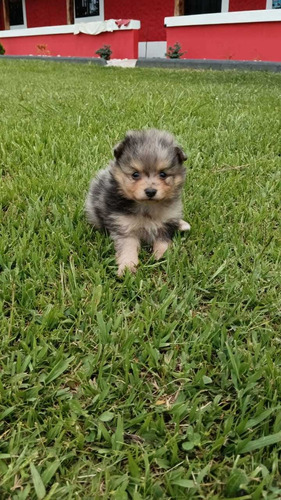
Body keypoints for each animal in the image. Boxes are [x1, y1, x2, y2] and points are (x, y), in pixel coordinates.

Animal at [85, 129, 190, 276]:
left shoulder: (165, 224)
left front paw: (162, 256)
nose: (150, 191)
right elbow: (128, 248)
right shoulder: (125, 227)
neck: (147, 206)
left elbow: (163, 241)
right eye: (135, 174)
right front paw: (127, 268)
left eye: (163, 174)